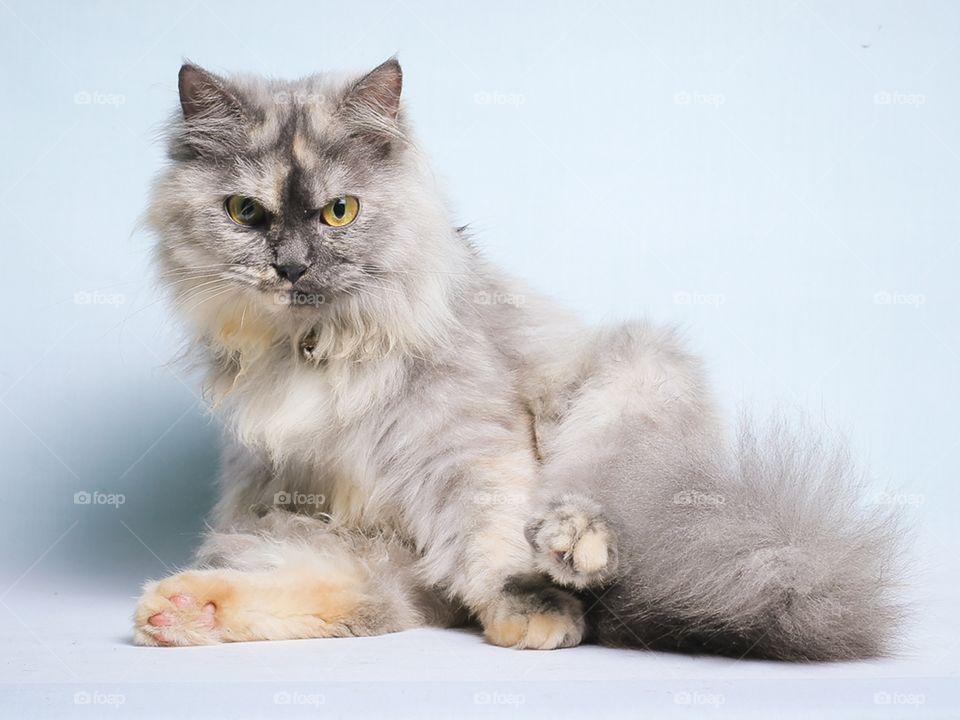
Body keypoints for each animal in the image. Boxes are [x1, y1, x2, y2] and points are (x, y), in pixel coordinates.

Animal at [133, 59, 900, 660]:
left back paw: (571, 551)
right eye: (245, 213)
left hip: (626, 389)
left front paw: (531, 612)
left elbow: (493, 536)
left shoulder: (467, 449)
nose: (290, 268)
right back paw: (185, 612)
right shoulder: (286, 498)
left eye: (339, 212)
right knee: (372, 598)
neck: (315, 347)